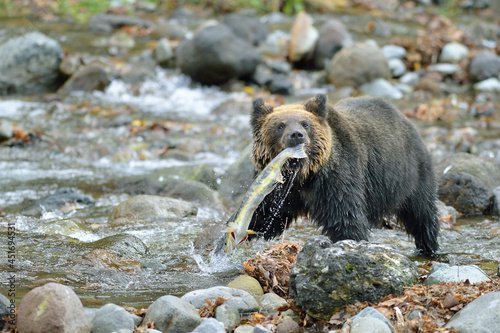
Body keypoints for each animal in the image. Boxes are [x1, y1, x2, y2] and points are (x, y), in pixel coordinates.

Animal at [249, 93, 438, 254]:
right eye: (280, 125)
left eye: (305, 123)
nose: (296, 135)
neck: (304, 175)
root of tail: (406, 120)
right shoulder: (278, 188)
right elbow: (264, 215)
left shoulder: (336, 178)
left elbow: (345, 218)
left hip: (411, 174)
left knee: (421, 213)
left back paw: (429, 246)